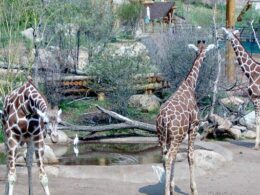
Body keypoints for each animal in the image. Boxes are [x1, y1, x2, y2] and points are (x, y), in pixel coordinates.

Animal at [155, 40, 214, 194]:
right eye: (205, 54)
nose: (204, 58)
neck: (189, 85)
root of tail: (164, 118)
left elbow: (177, 158)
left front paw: (173, 186)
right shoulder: (194, 126)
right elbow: (190, 156)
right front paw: (194, 189)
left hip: (162, 137)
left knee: (165, 157)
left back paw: (168, 189)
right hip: (177, 136)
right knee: (169, 157)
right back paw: (166, 192)